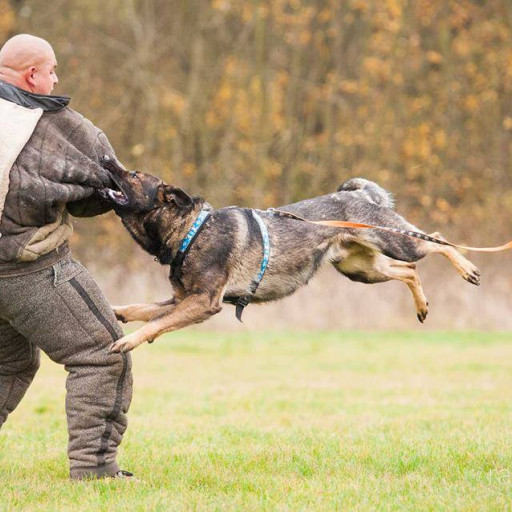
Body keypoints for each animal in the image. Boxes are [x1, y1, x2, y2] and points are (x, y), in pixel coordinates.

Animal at [99, 156, 480, 354]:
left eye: (133, 174)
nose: (105, 158)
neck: (192, 231)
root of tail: (359, 195)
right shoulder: (182, 300)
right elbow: (143, 309)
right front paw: (118, 312)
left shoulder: (203, 303)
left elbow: (156, 323)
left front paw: (129, 341)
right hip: (360, 269)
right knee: (410, 269)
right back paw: (422, 306)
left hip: (393, 241)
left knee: (437, 241)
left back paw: (468, 270)